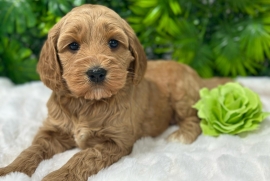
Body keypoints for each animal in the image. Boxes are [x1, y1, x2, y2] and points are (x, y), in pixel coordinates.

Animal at [0, 4, 230, 181]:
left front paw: (57, 177)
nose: (96, 72)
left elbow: (83, 157)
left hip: (183, 95)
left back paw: (181, 135)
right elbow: (31, 150)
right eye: (73, 45)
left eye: (113, 42)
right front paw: (10, 171)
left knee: (195, 118)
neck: (87, 103)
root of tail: (197, 75)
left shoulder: (115, 141)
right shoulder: (52, 131)